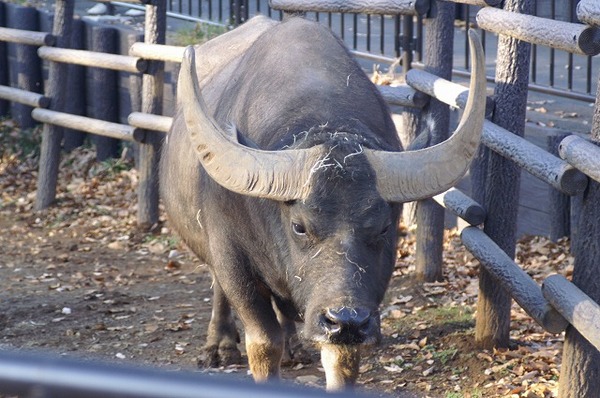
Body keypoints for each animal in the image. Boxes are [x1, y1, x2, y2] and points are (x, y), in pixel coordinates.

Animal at [161, 16, 488, 392]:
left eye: (384, 228)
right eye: (299, 226)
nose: (345, 320)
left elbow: (341, 360)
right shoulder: (231, 257)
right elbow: (262, 341)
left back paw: (294, 345)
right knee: (219, 289)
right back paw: (219, 346)